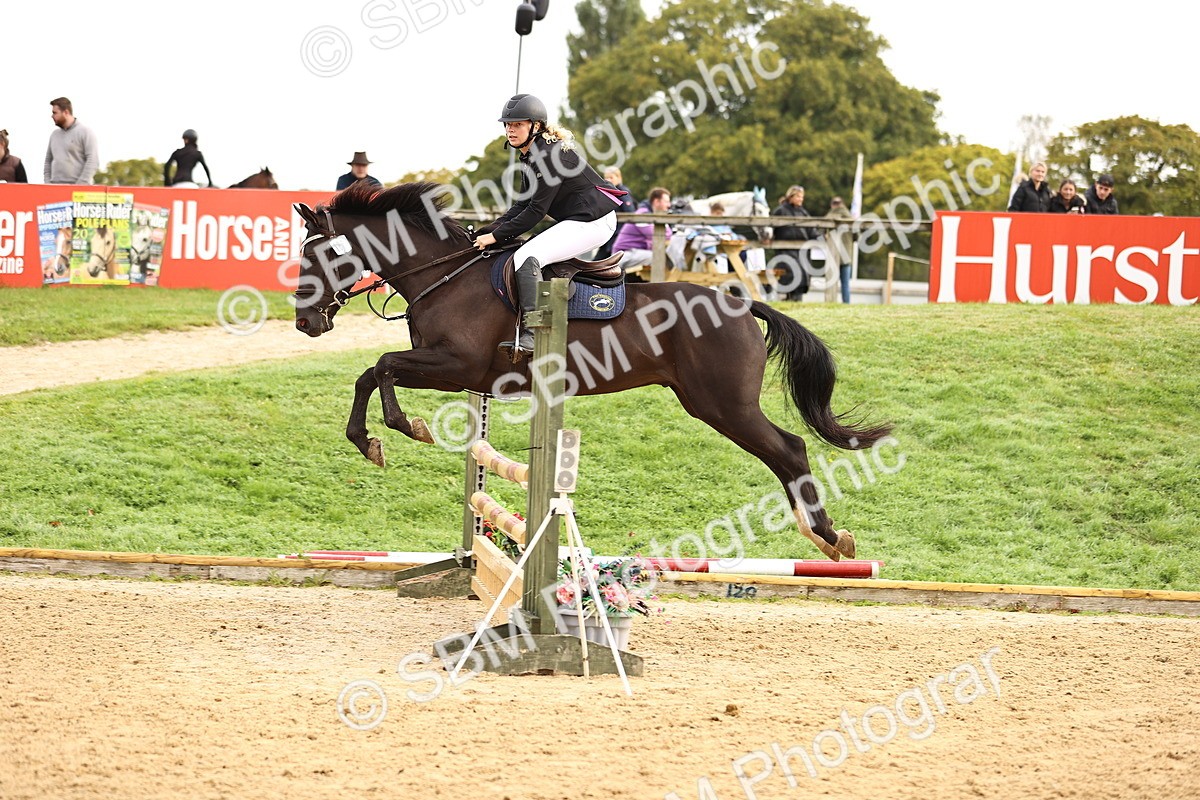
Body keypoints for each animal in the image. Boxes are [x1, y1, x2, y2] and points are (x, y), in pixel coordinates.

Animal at [291, 181, 891, 561]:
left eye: (321, 257)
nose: (304, 323)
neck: (445, 276)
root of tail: (744, 304)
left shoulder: (456, 364)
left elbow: (383, 367)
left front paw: (401, 427)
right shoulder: (459, 374)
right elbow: (369, 374)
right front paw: (366, 440)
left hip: (724, 405)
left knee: (789, 448)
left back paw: (828, 538)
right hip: (714, 403)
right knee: (786, 450)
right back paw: (825, 537)